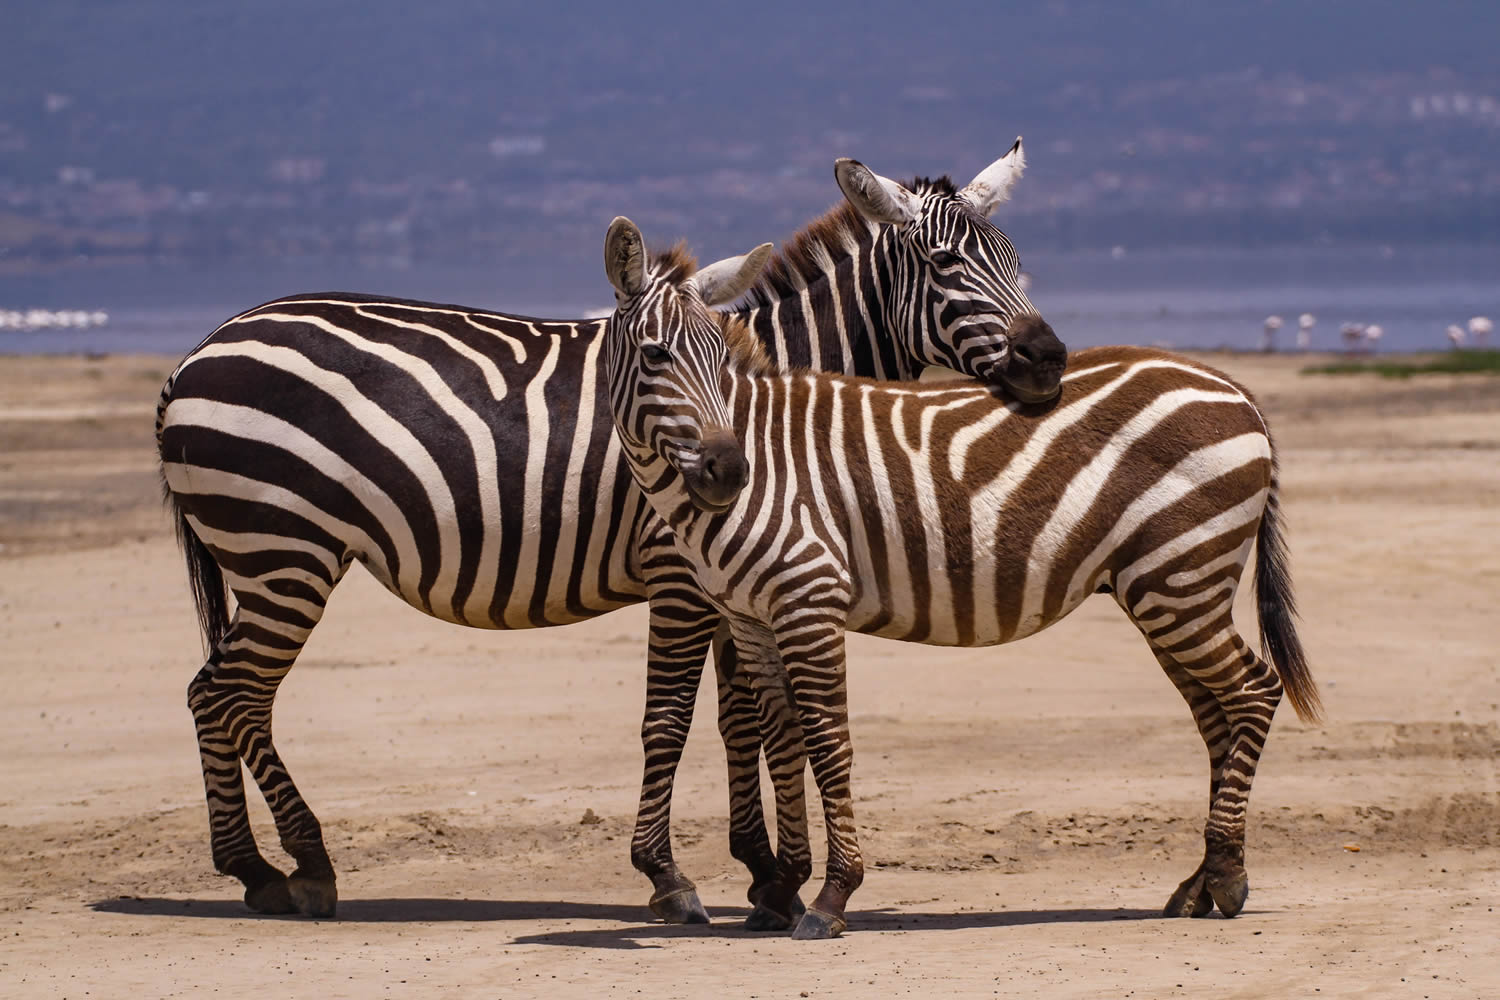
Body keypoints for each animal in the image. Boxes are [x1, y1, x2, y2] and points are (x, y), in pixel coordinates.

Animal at [154, 142, 1066, 920]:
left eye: (1016, 260)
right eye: (946, 265)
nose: (1051, 361)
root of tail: (195, 354)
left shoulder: (735, 577)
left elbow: (743, 719)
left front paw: (765, 874)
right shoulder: (680, 573)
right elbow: (675, 718)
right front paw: (677, 879)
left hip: (271, 559)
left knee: (217, 695)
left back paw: (259, 868)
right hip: (285, 550)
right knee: (230, 695)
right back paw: (294, 865)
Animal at [600, 218, 1323, 939]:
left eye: (721, 359)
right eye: (656, 355)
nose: (728, 470)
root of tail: (1234, 387)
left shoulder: (810, 597)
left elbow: (828, 739)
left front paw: (832, 895)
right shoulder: (751, 615)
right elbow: (784, 738)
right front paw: (780, 890)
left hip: (1182, 577)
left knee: (1254, 692)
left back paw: (1225, 874)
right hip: (1168, 589)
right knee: (1217, 713)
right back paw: (1200, 884)